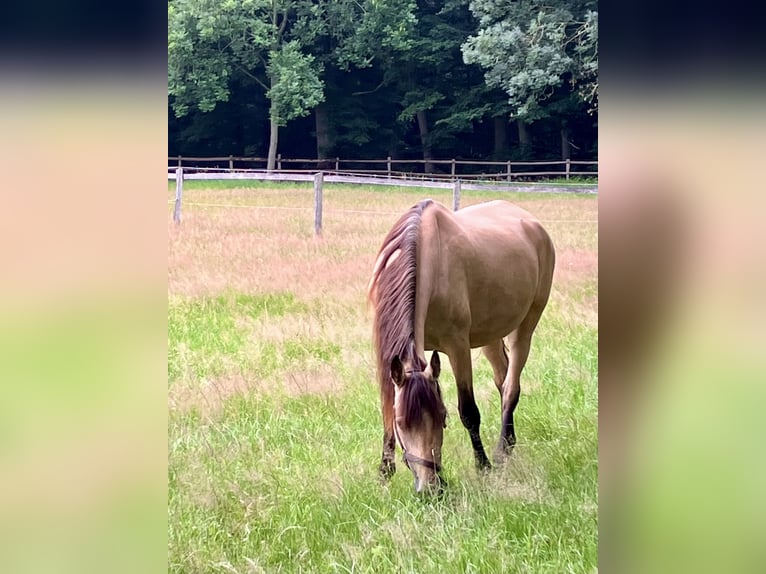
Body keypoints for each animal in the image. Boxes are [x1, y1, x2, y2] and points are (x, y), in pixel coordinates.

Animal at [368, 199, 555, 494]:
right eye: (401, 423)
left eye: (442, 417)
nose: (430, 489)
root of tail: (534, 225)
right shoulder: (386, 351)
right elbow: (387, 404)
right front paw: (385, 472)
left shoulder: (457, 346)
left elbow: (468, 411)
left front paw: (483, 466)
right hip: (491, 334)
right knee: (502, 379)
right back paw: (509, 444)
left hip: (524, 327)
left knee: (511, 387)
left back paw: (500, 452)